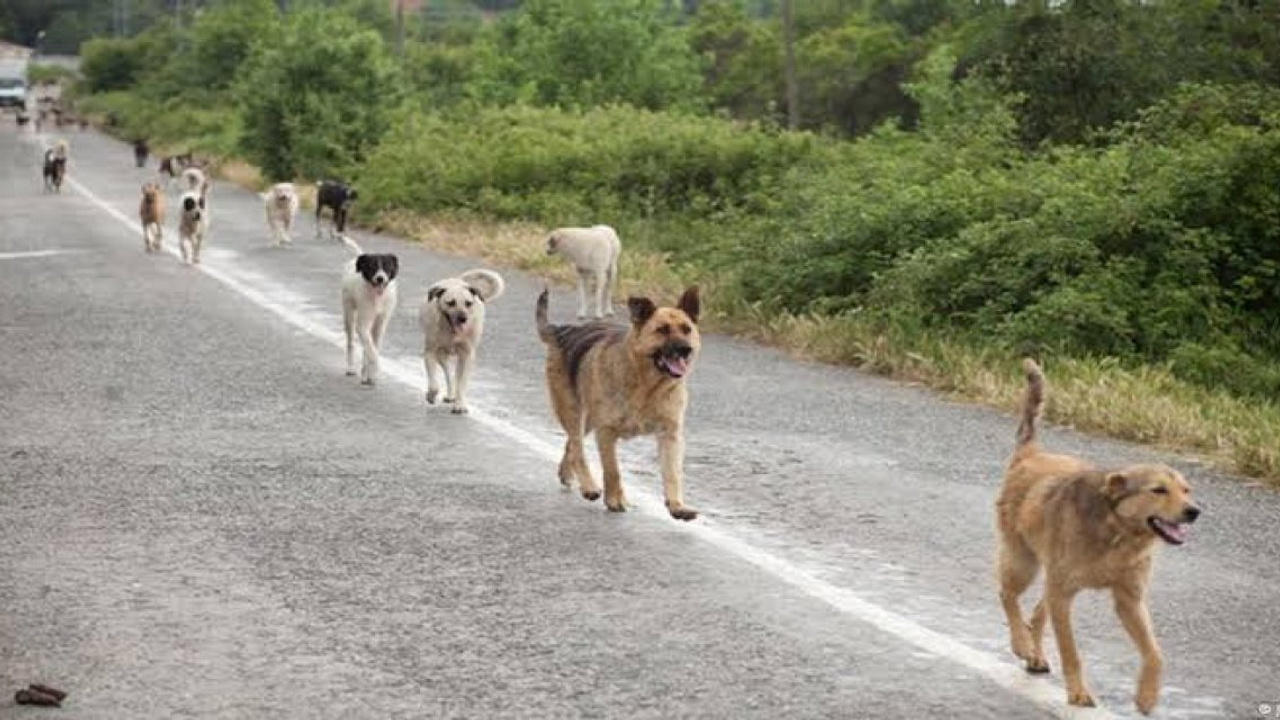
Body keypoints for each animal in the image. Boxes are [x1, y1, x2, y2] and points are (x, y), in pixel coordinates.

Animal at [417, 267, 501, 415]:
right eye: (451, 303)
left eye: (468, 303)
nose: (463, 318)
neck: (452, 333)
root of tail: (458, 280)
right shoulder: (430, 353)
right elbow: (434, 384)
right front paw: (431, 396)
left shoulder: (467, 355)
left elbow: (462, 383)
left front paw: (460, 404)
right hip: (441, 355)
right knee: (449, 375)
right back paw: (450, 395)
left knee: (456, 376)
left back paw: (454, 397)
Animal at [535, 283, 706, 517]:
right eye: (662, 330)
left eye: (687, 329)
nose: (685, 349)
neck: (647, 386)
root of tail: (563, 331)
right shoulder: (606, 432)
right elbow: (613, 470)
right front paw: (614, 500)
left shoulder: (670, 435)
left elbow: (673, 473)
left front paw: (677, 505)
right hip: (573, 412)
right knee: (578, 449)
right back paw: (589, 486)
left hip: (587, 420)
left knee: (570, 445)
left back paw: (567, 474)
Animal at [998, 358, 1198, 712]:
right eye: (1158, 490)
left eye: (1186, 490)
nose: (1194, 511)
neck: (1117, 533)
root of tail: (1031, 453)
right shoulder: (1064, 594)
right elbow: (1071, 653)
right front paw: (1078, 692)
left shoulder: (1129, 599)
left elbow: (1155, 653)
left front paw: (1147, 695)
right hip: (1024, 561)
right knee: (1008, 596)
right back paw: (1022, 644)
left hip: (1051, 578)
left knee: (1036, 611)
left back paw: (1035, 655)